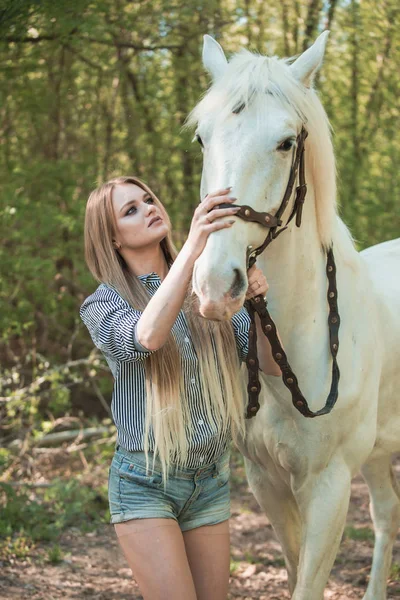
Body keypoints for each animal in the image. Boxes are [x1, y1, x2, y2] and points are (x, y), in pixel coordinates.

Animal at [188, 32, 400, 600]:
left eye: (286, 143)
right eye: (201, 138)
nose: (215, 286)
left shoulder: (328, 486)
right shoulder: (266, 480)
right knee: (387, 514)